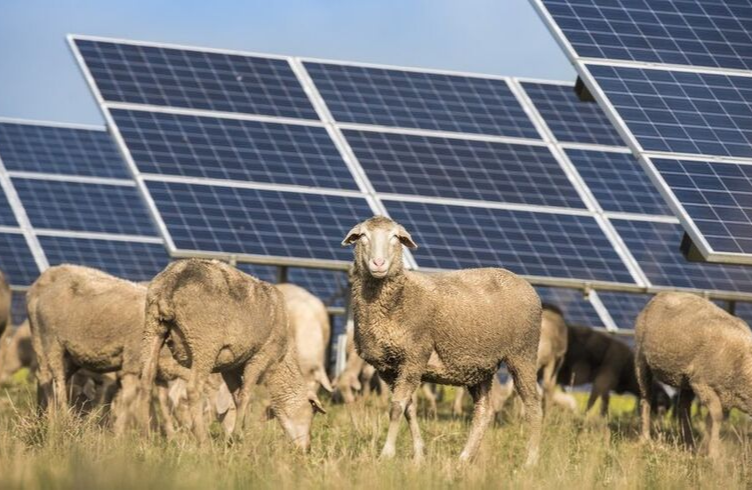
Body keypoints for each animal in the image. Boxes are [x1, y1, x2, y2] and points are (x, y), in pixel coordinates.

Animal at [139, 258, 326, 450]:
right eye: (312, 412)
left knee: (146, 380)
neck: (281, 361)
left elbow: (236, 396)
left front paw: (239, 432)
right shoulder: (260, 356)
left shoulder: (229, 366)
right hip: (204, 342)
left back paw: (146, 439)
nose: (306, 448)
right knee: (193, 389)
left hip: (153, 328)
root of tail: (171, 283)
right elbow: (245, 395)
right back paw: (203, 443)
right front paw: (238, 436)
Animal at [636, 290, 752, 460]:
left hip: (685, 379)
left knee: (683, 408)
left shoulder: (724, 394)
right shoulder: (702, 383)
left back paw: (690, 446)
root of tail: (663, 293)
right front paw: (713, 454)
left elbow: (712, 419)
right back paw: (645, 439)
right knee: (646, 398)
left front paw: (706, 449)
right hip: (641, 360)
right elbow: (716, 415)